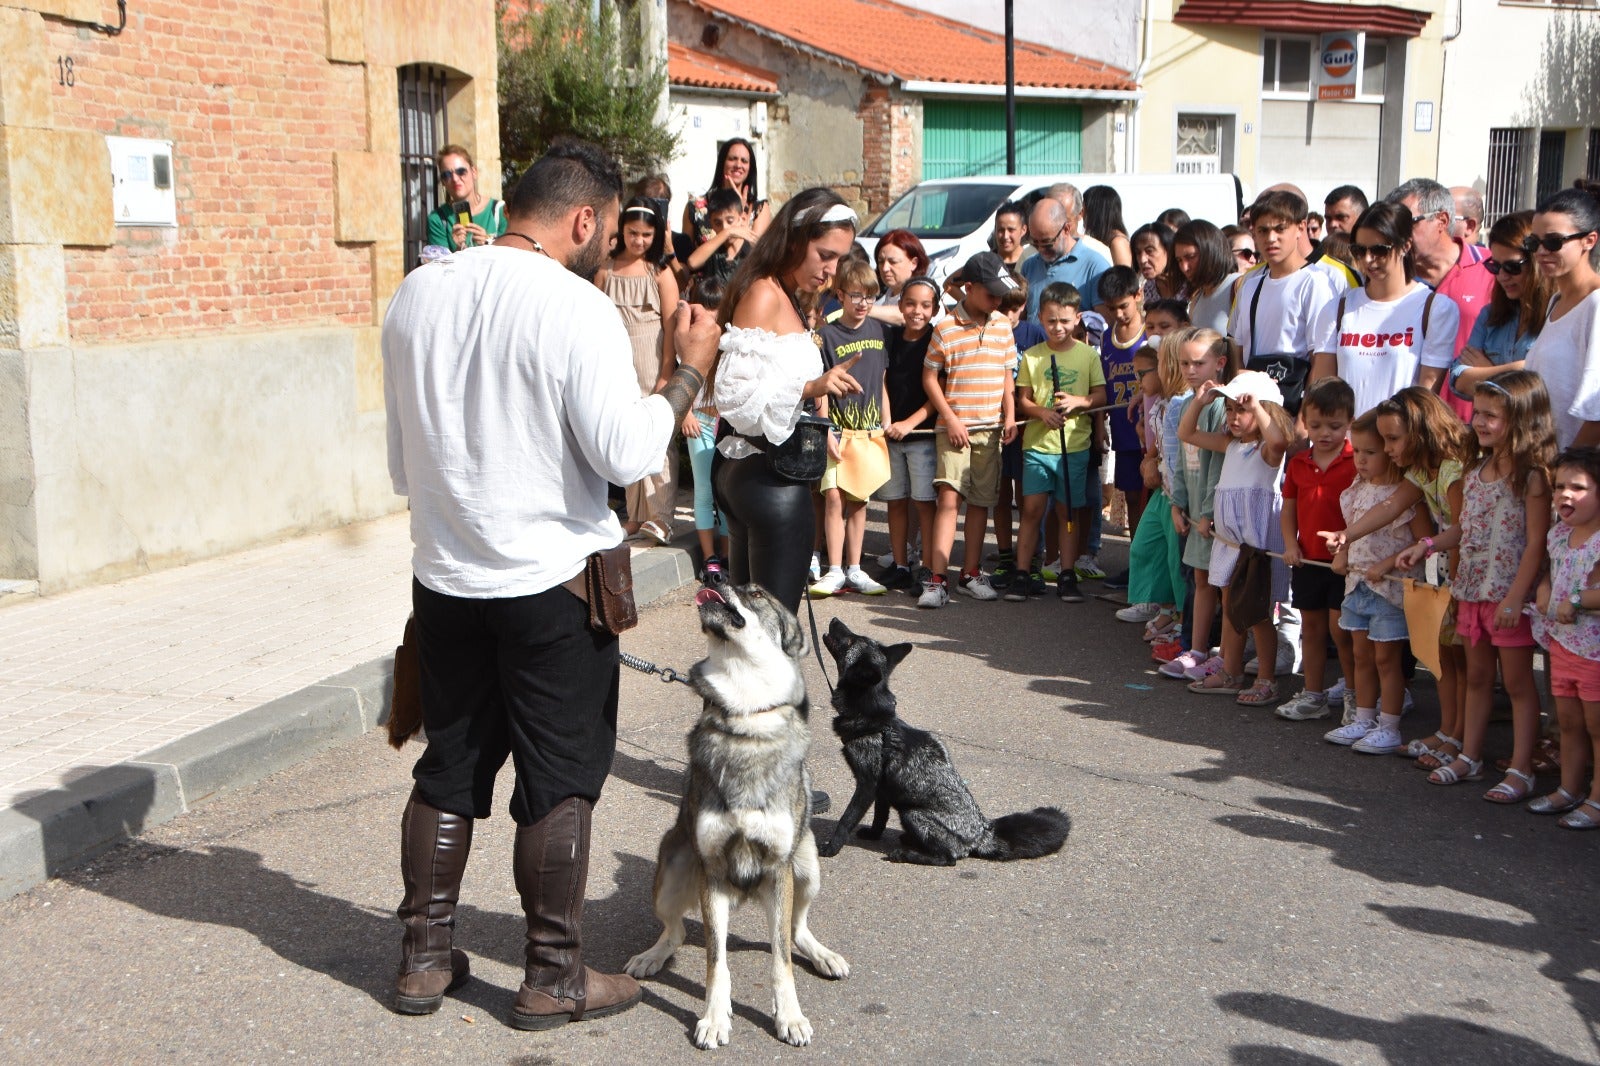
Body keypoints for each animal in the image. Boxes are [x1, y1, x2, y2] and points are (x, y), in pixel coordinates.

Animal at [624, 576, 851, 1043]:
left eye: (757, 593)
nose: (712, 575)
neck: (746, 717)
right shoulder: (711, 871)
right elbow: (717, 961)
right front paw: (714, 1018)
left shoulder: (780, 868)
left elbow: (781, 960)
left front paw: (789, 1016)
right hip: (673, 872)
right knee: (676, 931)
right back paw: (651, 956)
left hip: (807, 868)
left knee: (796, 930)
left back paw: (824, 955)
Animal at [819, 614, 1068, 864]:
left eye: (850, 640)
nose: (834, 619)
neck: (874, 717)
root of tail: (982, 834)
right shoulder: (882, 790)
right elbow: (880, 817)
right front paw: (873, 835)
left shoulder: (867, 785)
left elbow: (847, 820)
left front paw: (832, 848)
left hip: (913, 813)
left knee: (948, 859)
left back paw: (908, 853)